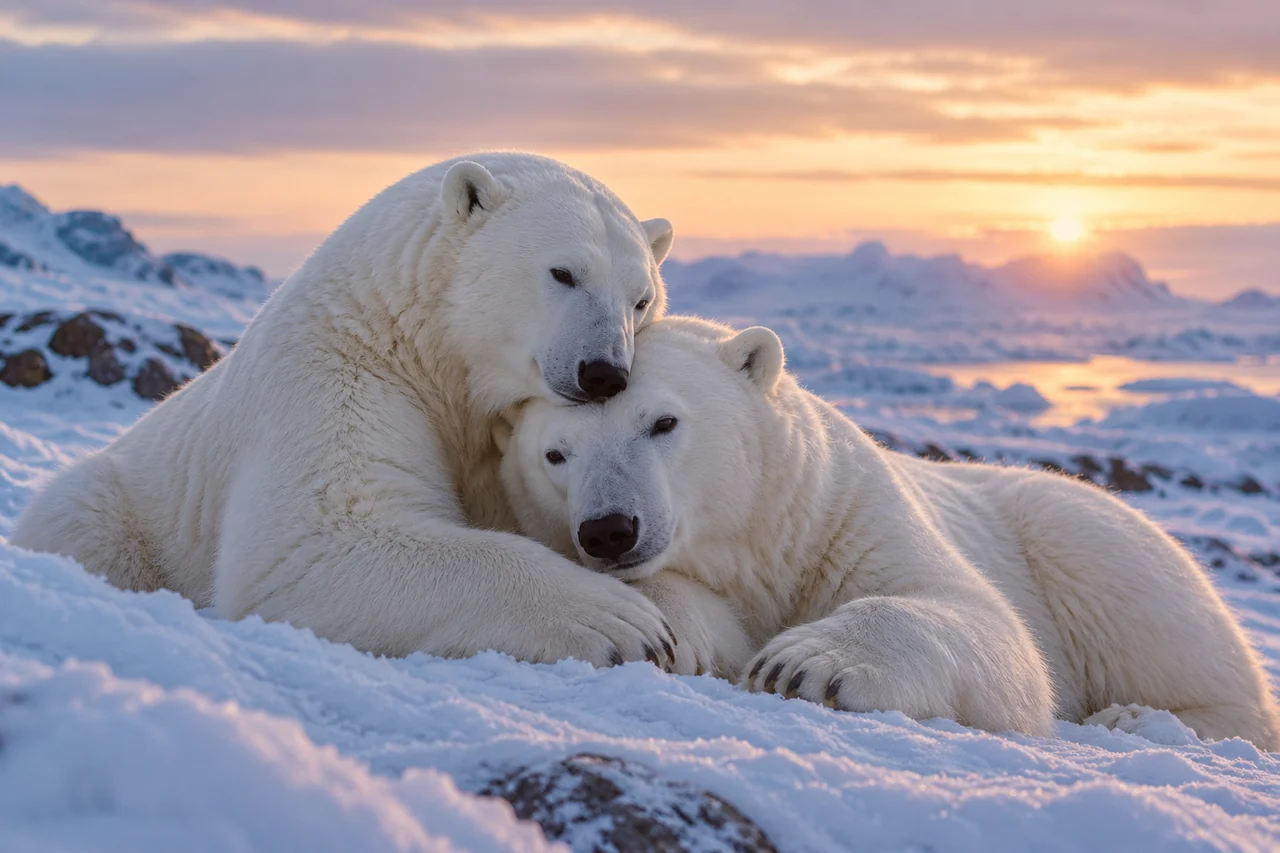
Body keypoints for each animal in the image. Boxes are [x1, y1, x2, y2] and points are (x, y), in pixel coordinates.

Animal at [10, 152, 682, 668]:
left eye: (641, 298)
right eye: (562, 272)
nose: (604, 372)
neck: (426, 348)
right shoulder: (336, 375)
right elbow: (312, 543)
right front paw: (626, 623)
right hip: (121, 505)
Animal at [494, 316, 1280, 748]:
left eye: (663, 421)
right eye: (555, 453)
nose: (610, 529)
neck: (763, 542)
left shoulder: (844, 514)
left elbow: (985, 624)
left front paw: (802, 663)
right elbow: (695, 611)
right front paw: (661, 634)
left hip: (1083, 537)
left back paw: (1135, 716)